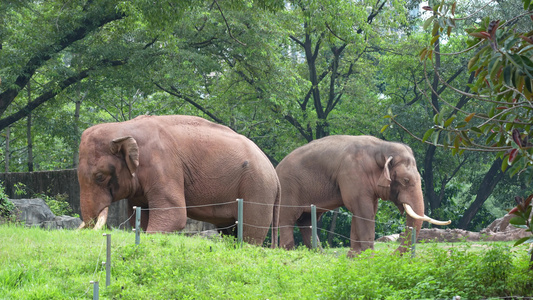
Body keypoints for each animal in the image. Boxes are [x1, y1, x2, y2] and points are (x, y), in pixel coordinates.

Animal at [78, 115, 282, 246]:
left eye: (100, 177)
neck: (123, 127)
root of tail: (275, 174)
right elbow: (141, 214)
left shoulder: (164, 164)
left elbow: (173, 214)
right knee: (229, 231)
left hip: (257, 189)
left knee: (249, 233)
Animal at [274, 135, 448, 255]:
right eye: (406, 180)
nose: (390, 256)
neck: (381, 147)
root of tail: (276, 168)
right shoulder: (352, 174)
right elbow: (363, 210)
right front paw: (368, 256)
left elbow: (364, 210)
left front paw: (354, 256)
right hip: (288, 189)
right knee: (288, 218)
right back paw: (288, 251)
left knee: (306, 219)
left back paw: (318, 253)